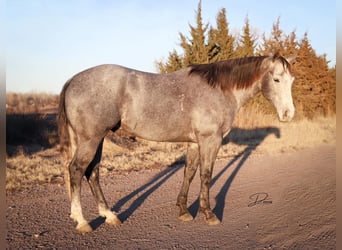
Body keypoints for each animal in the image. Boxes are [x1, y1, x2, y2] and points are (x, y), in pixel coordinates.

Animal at [57, 52, 296, 232]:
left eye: (291, 81)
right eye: (276, 79)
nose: (288, 114)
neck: (219, 89)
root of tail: (72, 80)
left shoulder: (194, 142)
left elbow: (189, 173)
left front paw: (183, 210)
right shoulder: (210, 140)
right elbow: (206, 175)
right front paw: (208, 214)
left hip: (97, 139)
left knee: (93, 172)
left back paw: (109, 216)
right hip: (91, 139)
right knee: (77, 170)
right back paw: (82, 221)